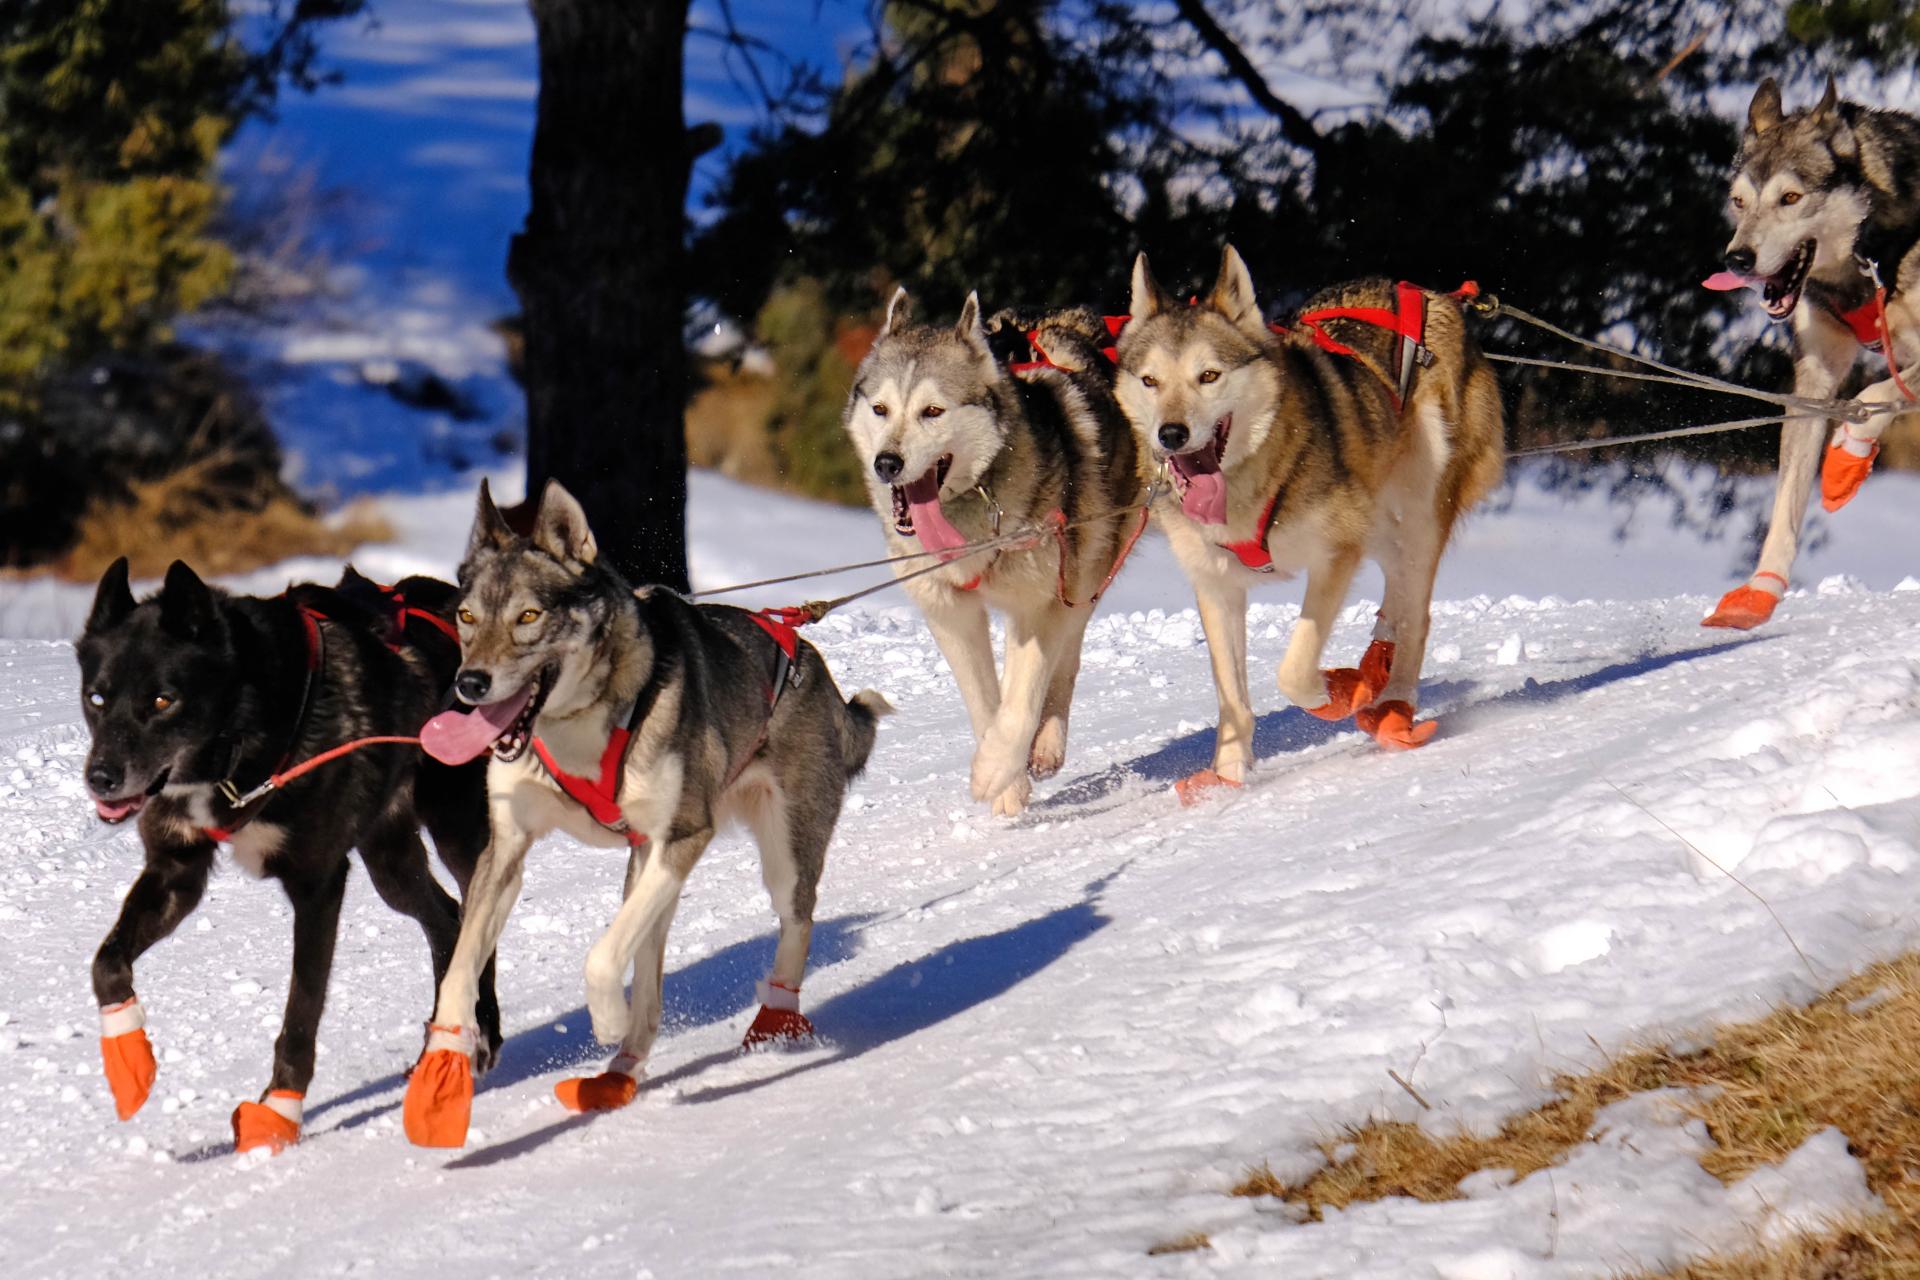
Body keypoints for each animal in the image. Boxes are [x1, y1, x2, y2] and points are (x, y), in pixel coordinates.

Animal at [79, 556, 506, 1159]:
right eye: (96, 698)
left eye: (162, 700)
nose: (101, 778)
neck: (240, 738)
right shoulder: (176, 871)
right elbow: (107, 964)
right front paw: (130, 1062)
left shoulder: (318, 882)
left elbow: (301, 1011)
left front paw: (279, 1111)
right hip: (389, 860)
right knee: (446, 919)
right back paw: (440, 1047)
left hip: (456, 830)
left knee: (476, 918)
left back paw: (481, 1035)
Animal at [403, 483, 890, 1151]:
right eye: (466, 617)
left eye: (529, 617)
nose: (470, 684)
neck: (583, 723)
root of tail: (807, 657)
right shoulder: (506, 852)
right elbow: (459, 970)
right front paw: (445, 1065)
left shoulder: (684, 834)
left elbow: (600, 958)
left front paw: (605, 1017)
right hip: (647, 869)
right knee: (650, 980)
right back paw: (621, 1071)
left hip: (776, 854)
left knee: (794, 923)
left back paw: (771, 1020)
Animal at [840, 289, 1136, 817]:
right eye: (880, 408)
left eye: (932, 411)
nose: (887, 463)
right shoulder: (949, 610)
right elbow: (984, 700)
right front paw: (1009, 785)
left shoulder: (1038, 606)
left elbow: (1021, 702)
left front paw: (996, 770)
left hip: (1083, 570)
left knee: (1066, 660)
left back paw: (1047, 742)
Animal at [1121, 249, 1505, 802]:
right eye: (1150, 381)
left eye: (1209, 375)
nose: (1171, 434)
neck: (1254, 481)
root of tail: (1429, 295)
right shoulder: (1216, 584)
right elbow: (1233, 699)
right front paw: (1227, 777)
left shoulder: (1336, 554)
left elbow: (1294, 671)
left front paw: (1342, 692)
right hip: (1382, 520)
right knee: (1397, 590)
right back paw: (1377, 659)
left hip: (1418, 509)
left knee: (1417, 614)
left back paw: (1394, 706)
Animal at [1704, 76, 1920, 629]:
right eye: (1739, 201)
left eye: (1791, 197)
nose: (1737, 259)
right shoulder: (1814, 378)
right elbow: (1787, 497)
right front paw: (1761, 590)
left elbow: (1877, 393)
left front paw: (1848, 455)